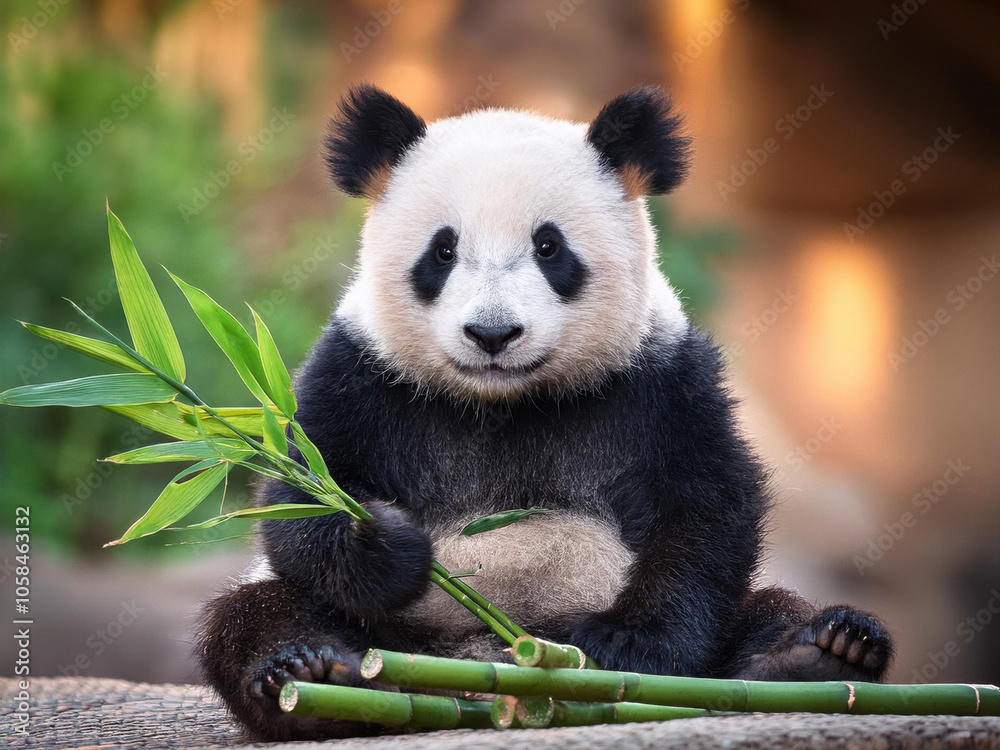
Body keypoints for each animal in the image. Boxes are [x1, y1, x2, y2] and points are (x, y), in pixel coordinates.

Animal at [196, 84, 893, 741]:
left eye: (549, 247)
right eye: (443, 251)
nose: (492, 333)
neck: (506, 401)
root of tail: (487, 661)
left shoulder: (663, 378)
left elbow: (706, 505)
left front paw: (626, 644)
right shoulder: (356, 373)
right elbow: (299, 501)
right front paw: (385, 540)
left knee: (766, 610)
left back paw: (820, 654)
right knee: (255, 614)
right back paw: (311, 674)